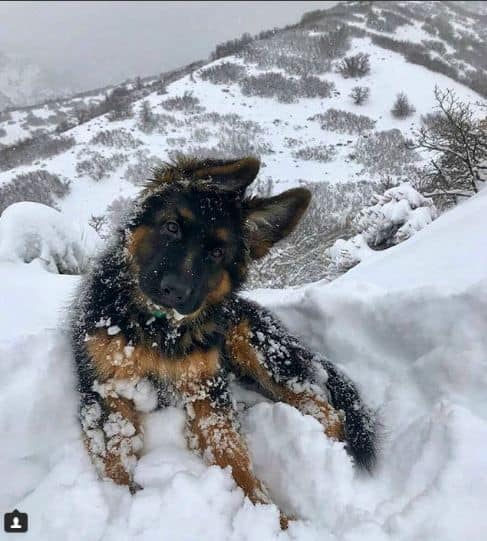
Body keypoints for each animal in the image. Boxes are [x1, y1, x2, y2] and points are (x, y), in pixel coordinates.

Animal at [70, 155, 378, 524]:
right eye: (171, 227)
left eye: (217, 254)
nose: (175, 292)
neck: (158, 328)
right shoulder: (108, 389)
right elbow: (116, 457)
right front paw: (125, 500)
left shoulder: (206, 392)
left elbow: (233, 455)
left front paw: (272, 518)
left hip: (250, 343)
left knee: (323, 407)